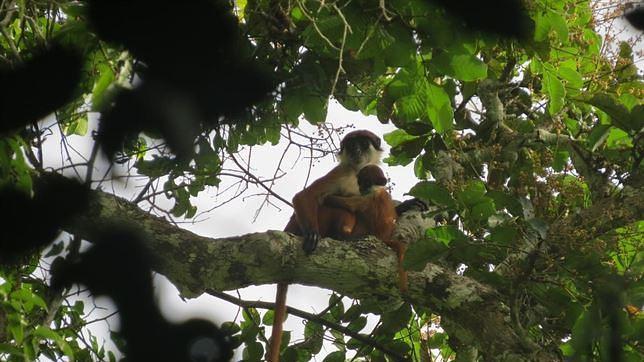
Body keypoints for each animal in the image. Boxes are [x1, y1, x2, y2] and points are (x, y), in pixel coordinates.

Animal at [270, 130, 384, 362]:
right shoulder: (342, 171)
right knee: (334, 202)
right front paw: (312, 235)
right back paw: (340, 236)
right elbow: (305, 196)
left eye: (362, 143)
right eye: (351, 144)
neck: (356, 172)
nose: (355, 149)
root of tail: (291, 228)